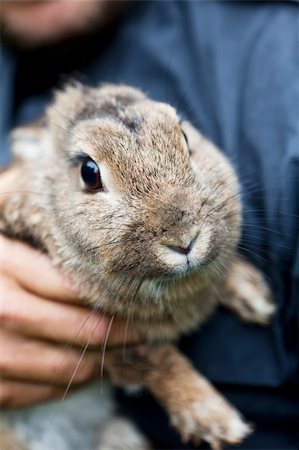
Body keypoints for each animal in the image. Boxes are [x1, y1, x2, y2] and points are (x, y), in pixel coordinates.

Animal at [0, 84, 276, 450]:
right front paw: (214, 419)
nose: (184, 238)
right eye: (89, 173)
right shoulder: (110, 344)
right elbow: (158, 360)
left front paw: (254, 296)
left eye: (185, 138)